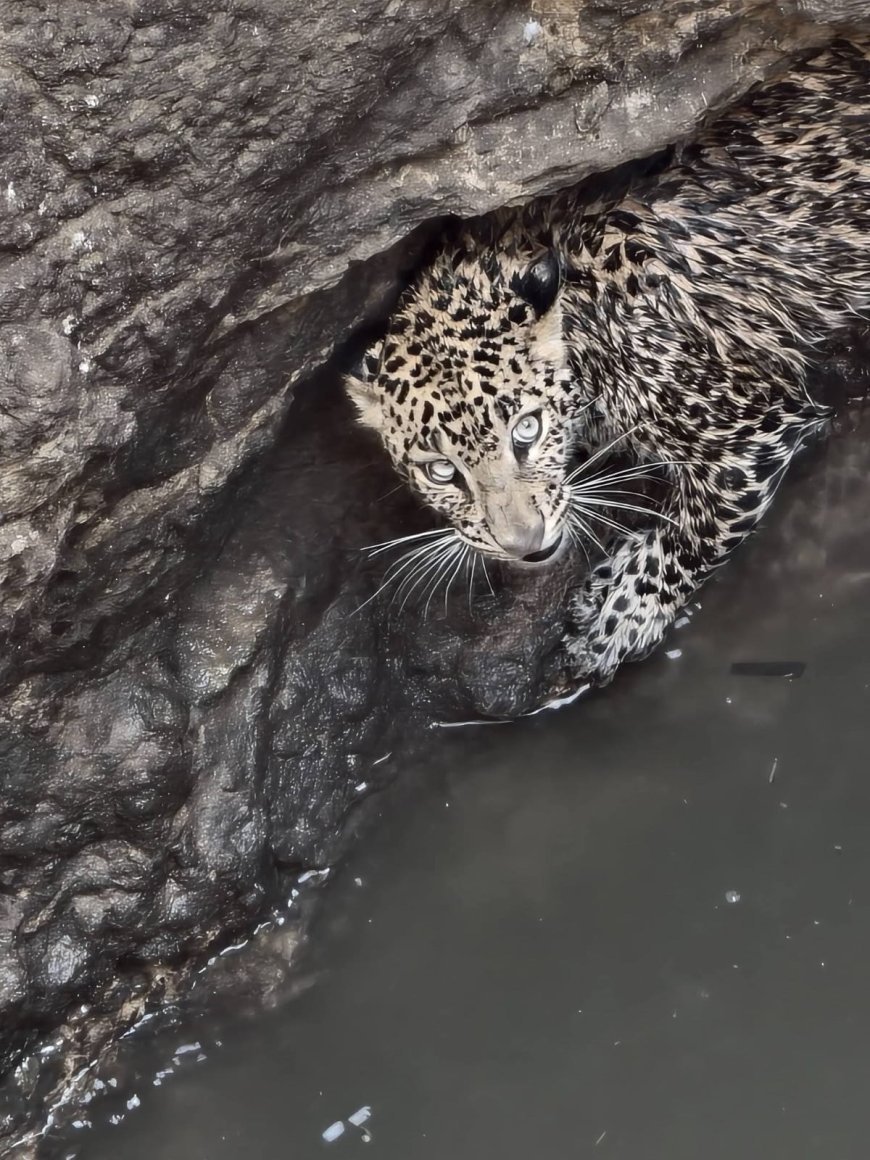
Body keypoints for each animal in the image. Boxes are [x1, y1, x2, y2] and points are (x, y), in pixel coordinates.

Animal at [345, 37, 870, 688]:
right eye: (442, 471)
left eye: (527, 430)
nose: (524, 545)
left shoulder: (748, 431)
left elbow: (695, 530)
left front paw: (615, 620)